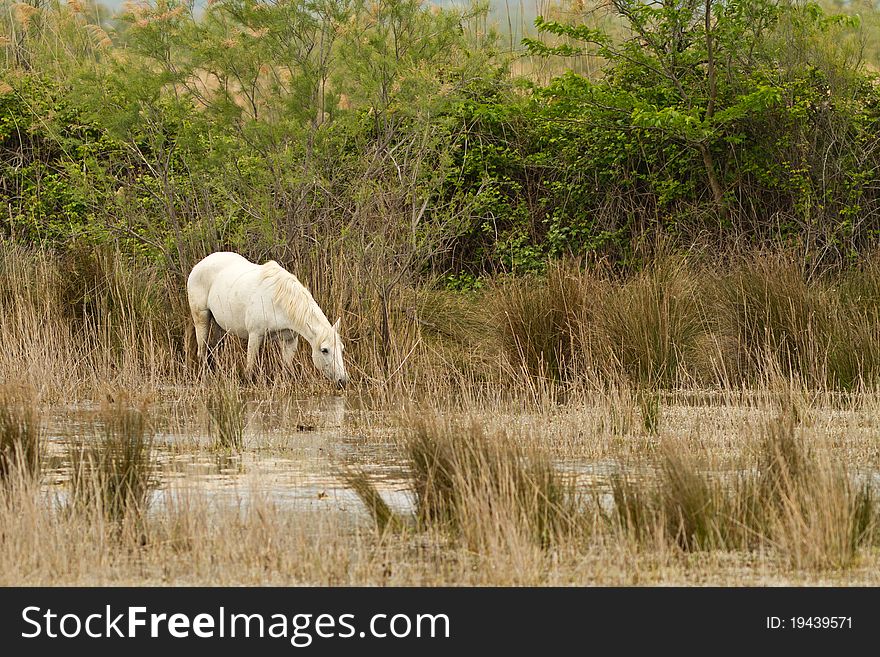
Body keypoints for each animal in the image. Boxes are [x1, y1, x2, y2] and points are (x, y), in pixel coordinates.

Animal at [187, 250, 348, 384]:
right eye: (324, 350)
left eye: (341, 348)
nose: (343, 380)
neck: (279, 301)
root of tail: (198, 266)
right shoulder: (255, 335)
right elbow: (249, 368)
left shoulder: (290, 340)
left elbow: (287, 368)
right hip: (201, 317)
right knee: (202, 352)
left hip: (219, 325)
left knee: (214, 349)